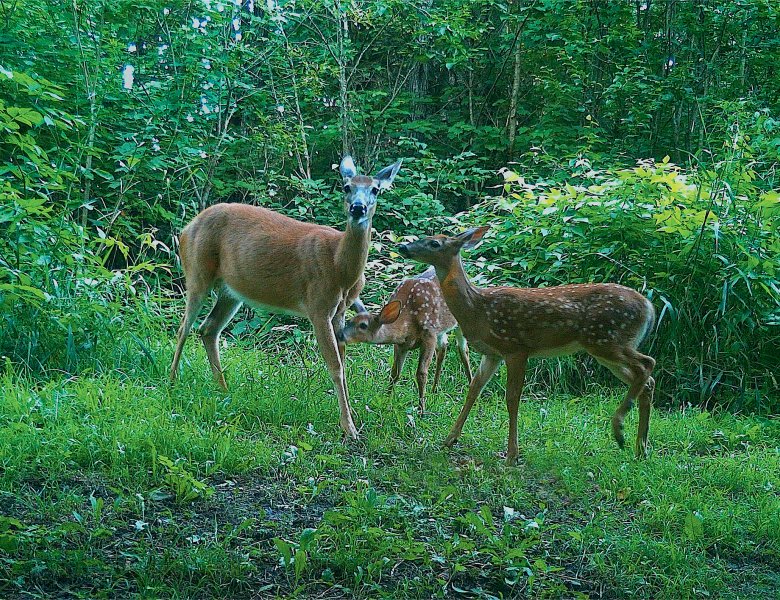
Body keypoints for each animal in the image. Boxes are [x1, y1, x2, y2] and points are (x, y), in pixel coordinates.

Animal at [171, 155, 402, 438]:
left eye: (375, 189)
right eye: (346, 187)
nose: (358, 208)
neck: (340, 267)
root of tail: (186, 228)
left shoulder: (340, 311)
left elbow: (343, 362)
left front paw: (350, 418)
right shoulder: (318, 305)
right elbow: (335, 366)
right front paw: (350, 428)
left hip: (231, 290)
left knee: (208, 328)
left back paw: (224, 390)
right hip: (197, 271)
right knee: (184, 327)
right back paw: (172, 383)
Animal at [336, 268, 472, 412]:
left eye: (363, 325)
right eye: (349, 321)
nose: (340, 335)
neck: (408, 321)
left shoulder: (429, 333)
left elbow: (421, 374)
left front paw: (421, 410)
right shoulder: (401, 345)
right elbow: (395, 373)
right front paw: (386, 399)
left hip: (460, 321)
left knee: (463, 349)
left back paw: (471, 386)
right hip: (442, 329)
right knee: (443, 348)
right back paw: (434, 389)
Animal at [400, 225, 656, 464]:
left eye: (434, 243)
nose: (403, 247)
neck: (478, 310)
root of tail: (649, 307)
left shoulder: (516, 348)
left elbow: (512, 398)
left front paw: (512, 455)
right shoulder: (492, 353)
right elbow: (474, 389)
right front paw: (449, 439)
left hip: (607, 338)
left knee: (647, 363)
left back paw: (620, 428)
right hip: (604, 347)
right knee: (647, 381)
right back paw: (640, 449)